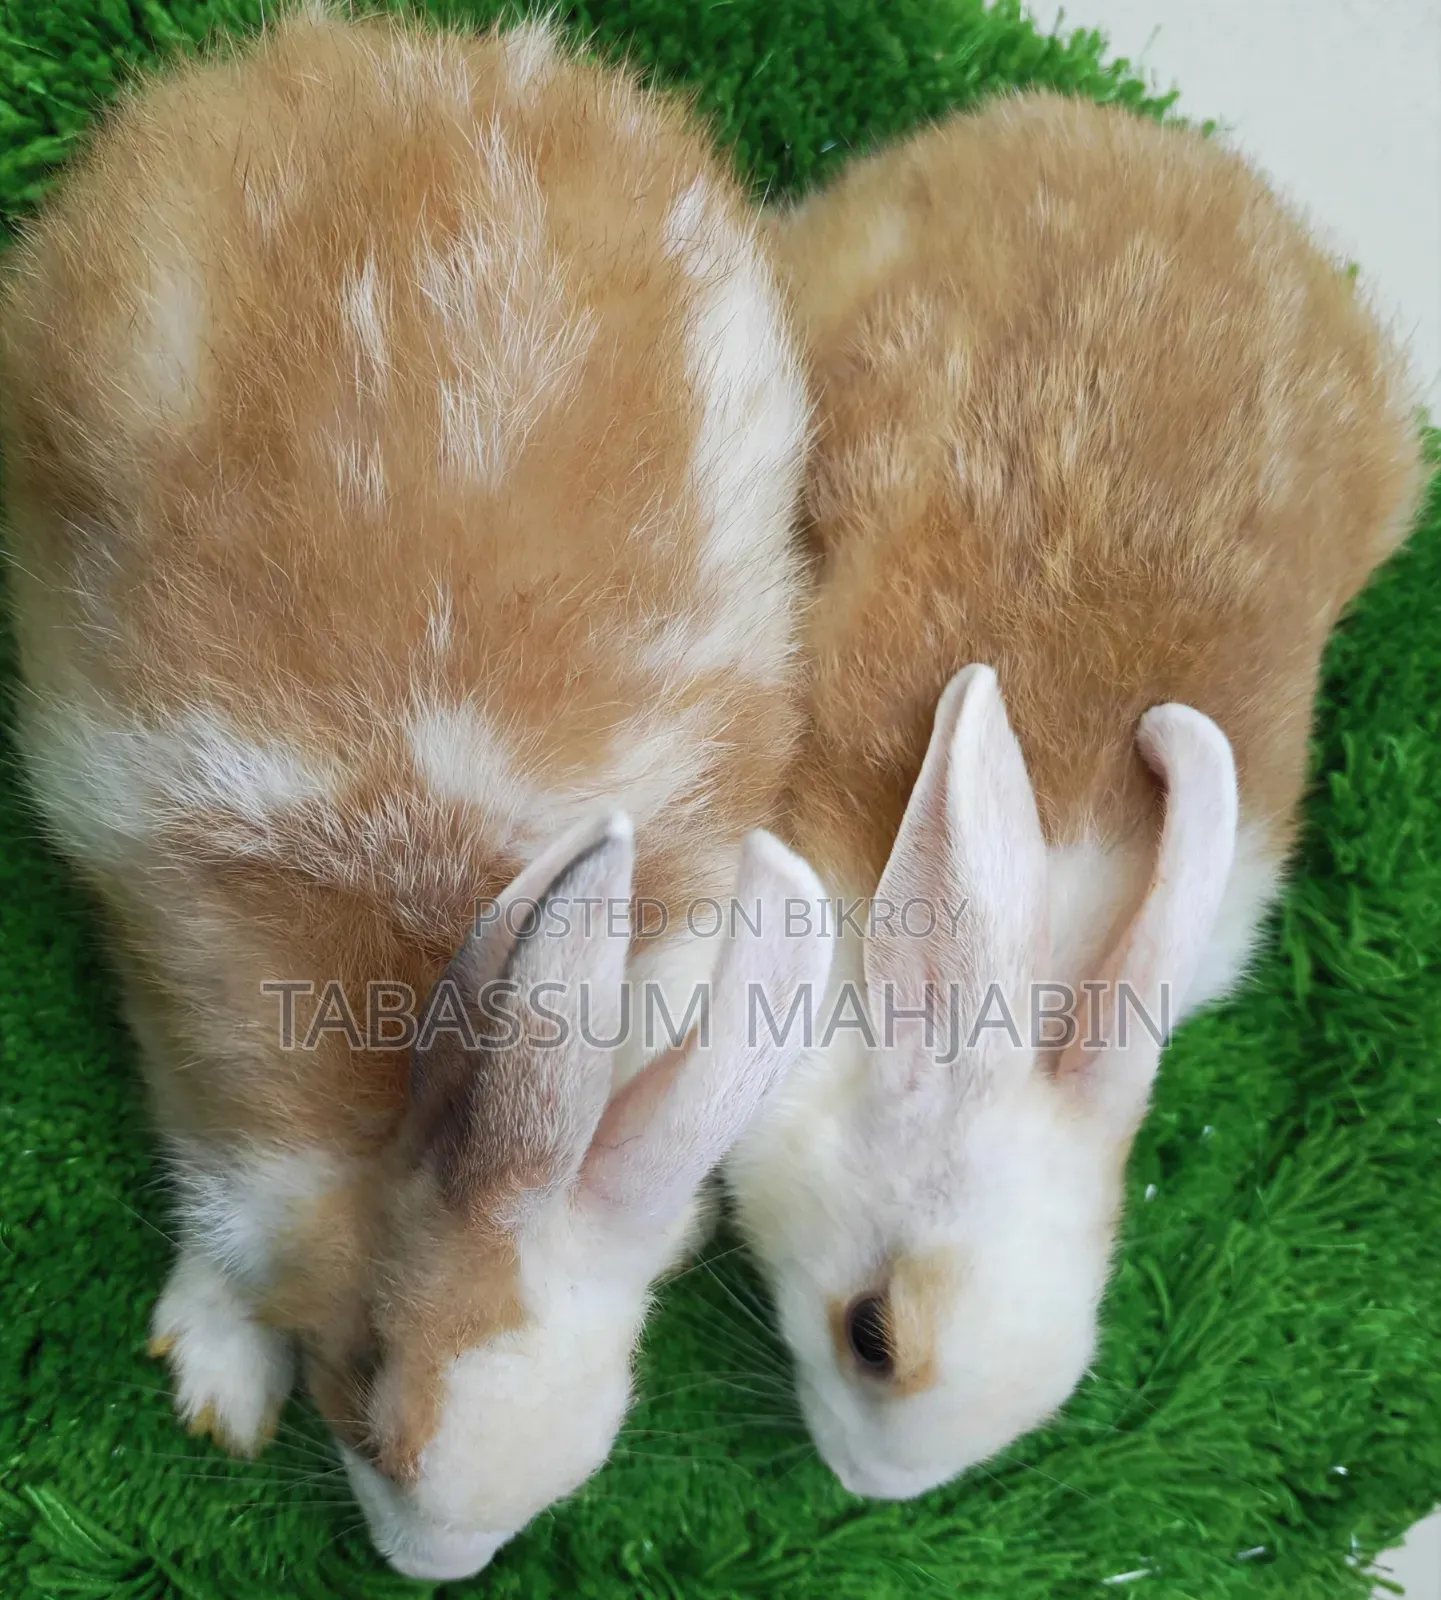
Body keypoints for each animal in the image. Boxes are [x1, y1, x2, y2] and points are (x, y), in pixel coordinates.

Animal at [0, 8, 832, 1580]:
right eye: (371, 1383)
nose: (423, 1568)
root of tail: (405, 57)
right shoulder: (192, 1038)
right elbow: (218, 1214)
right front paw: (218, 1379)